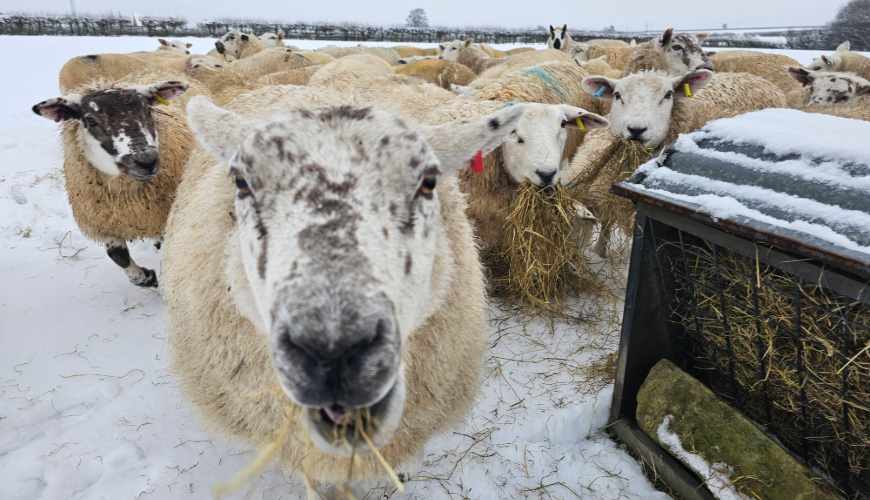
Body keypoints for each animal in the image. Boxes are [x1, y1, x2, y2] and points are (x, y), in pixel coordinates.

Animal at [31, 76, 195, 288]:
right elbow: (118, 256)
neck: (128, 203)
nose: (146, 160)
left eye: (148, 110)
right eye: (91, 120)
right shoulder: (104, 224)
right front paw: (146, 277)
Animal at [569, 69, 786, 256]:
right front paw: (598, 253)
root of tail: (757, 78)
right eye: (617, 95)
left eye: (668, 95)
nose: (636, 129)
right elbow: (605, 225)